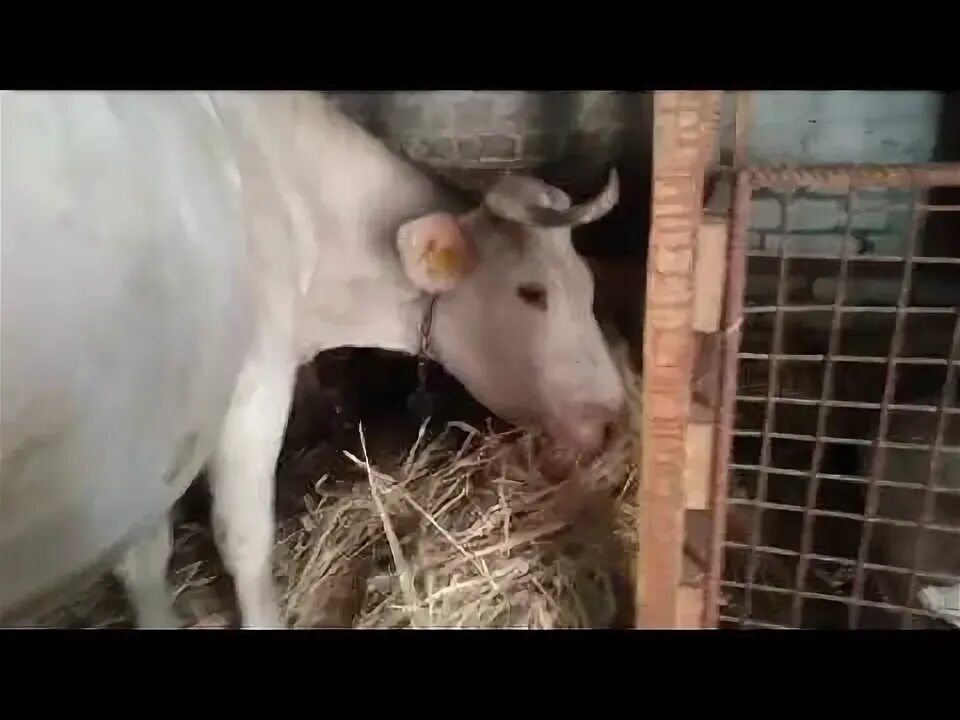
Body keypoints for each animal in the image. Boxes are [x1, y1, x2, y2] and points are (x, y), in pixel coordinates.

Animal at [0, 91, 627, 628]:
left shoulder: (164, 429)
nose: (614, 411)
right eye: (532, 292)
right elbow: (244, 540)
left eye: (588, 284)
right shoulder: (250, 386)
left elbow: (145, 561)